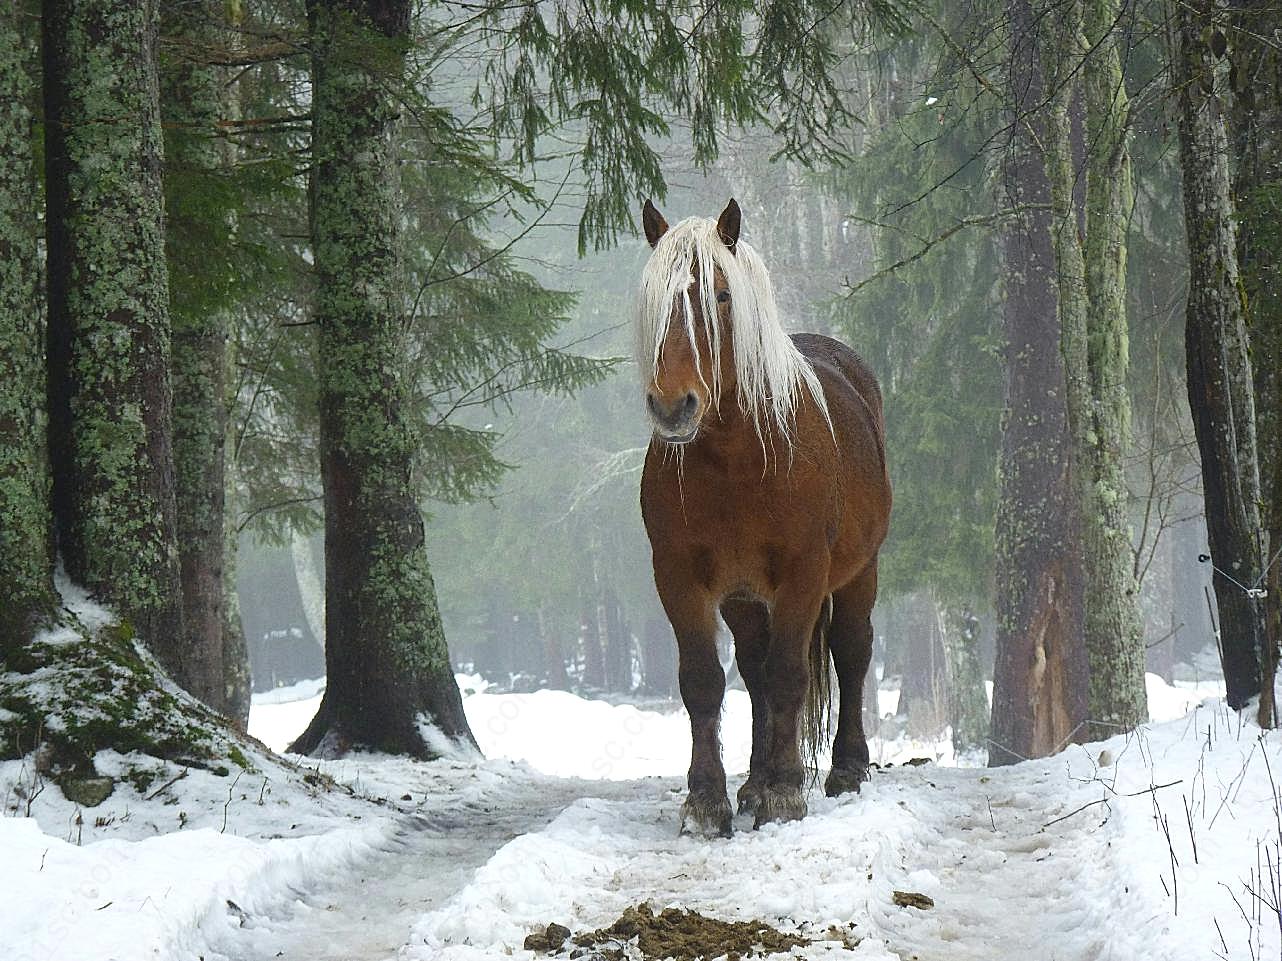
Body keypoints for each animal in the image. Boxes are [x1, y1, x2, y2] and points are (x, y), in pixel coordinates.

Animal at [633, 197, 892, 835]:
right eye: (653, 300)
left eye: (722, 297)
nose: (673, 406)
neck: (738, 461)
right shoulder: (680, 578)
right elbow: (705, 682)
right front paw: (708, 801)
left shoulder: (804, 574)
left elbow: (789, 676)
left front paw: (786, 793)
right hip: (744, 597)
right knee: (752, 672)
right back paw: (752, 781)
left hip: (858, 572)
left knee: (850, 653)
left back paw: (844, 769)